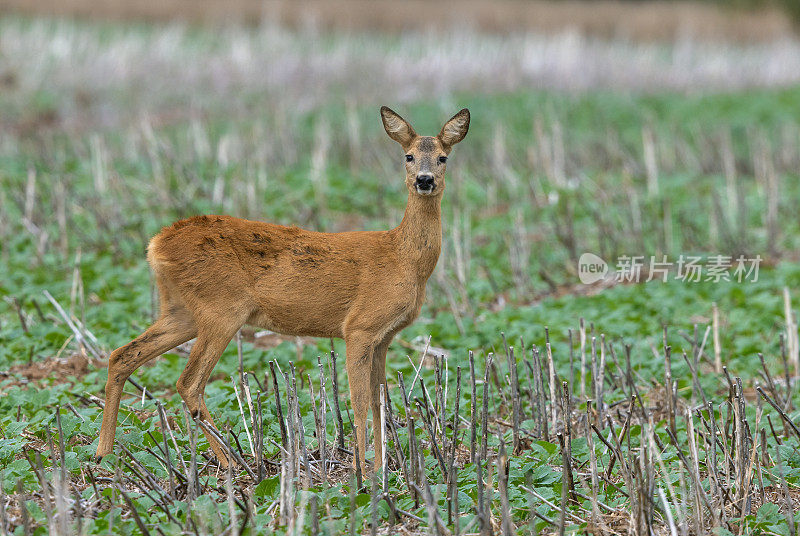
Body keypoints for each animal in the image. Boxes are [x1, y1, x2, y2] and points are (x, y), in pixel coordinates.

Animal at [94, 104, 468, 474]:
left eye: (443, 157)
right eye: (408, 156)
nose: (424, 180)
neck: (403, 258)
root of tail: (156, 244)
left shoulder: (384, 336)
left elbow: (380, 401)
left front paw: (381, 468)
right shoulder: (360, 326)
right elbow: (359, 401)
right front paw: (361, 472)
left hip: (181, 310)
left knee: (123, 355)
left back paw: (103, 455)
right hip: (221, 309)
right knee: (189, 382)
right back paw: (231, 463)